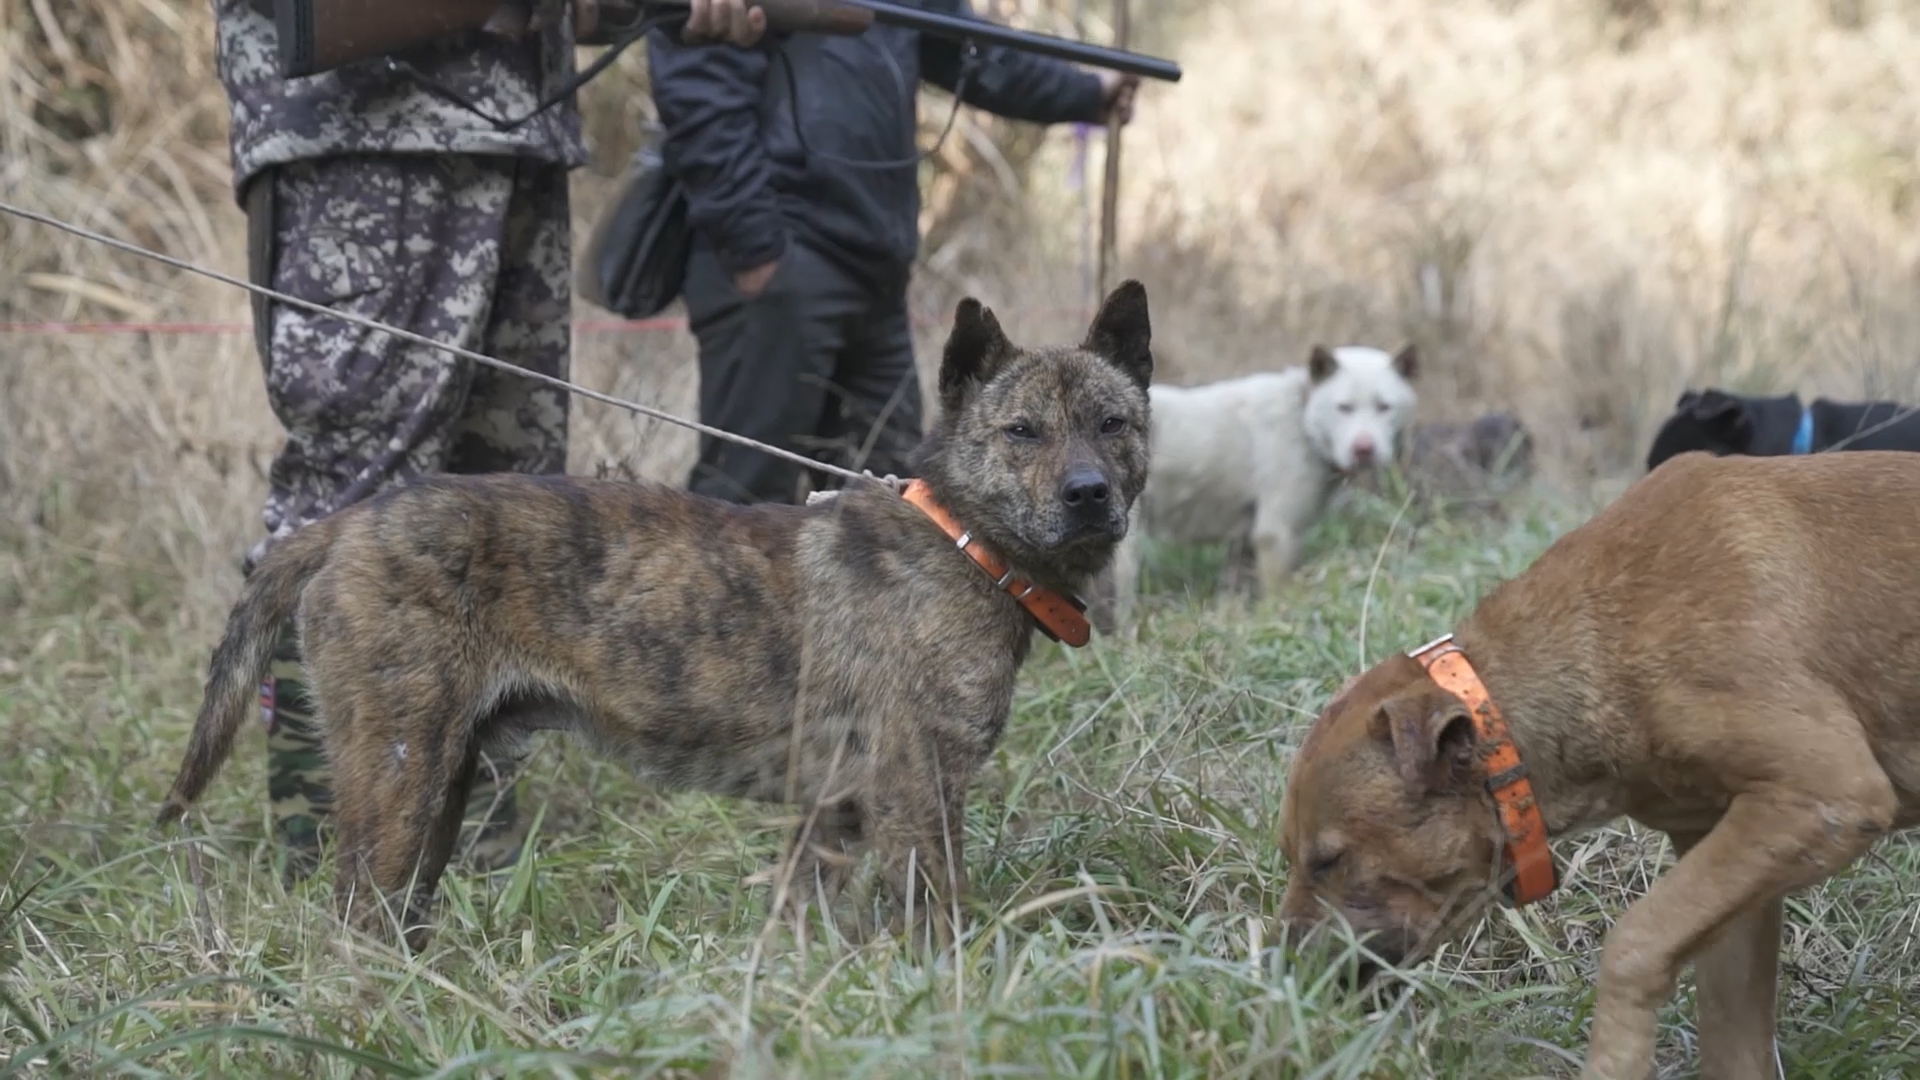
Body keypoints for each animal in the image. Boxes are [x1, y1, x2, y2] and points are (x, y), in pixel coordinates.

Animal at [153, 278, 1152, 949]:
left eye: (1114, 424)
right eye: (1021, 432)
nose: (1089, 495)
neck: (964, 543)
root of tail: (346, 523)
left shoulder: (830, 815)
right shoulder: (917, 796)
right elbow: (940, 924)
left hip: (439, 787)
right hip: (398, 778)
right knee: (353, 922)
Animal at [1105, 340, 1420, 618]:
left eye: (1384, 406)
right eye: (1344, 407)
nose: (1363, 449)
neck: (1302, 419)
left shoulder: (1245, 541)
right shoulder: (1276, 533)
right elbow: (1278, 592)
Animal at [1274, 447, 1920, 1076]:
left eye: (1329, 860)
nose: (1286, 979)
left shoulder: (1825, 792)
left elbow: (1634, 944)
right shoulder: (1732, 868)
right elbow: (1732, 1041)